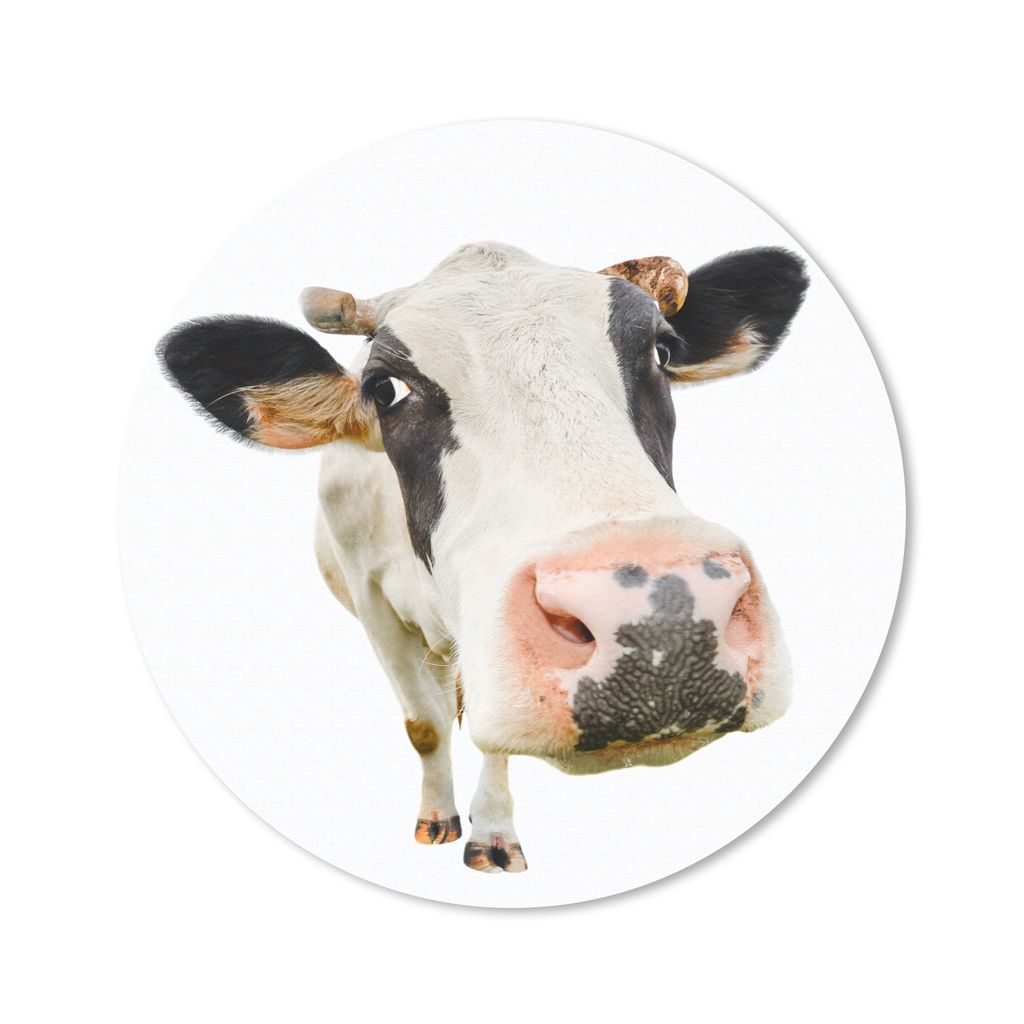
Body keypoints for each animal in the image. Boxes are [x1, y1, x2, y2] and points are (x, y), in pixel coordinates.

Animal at [158, 241, 808, 873]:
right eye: (384, 389)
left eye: (663, 351)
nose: (664, 628)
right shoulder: (373, 604)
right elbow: (424, 725)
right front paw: (437, 818)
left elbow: (487, 736)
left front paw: (492, 834)